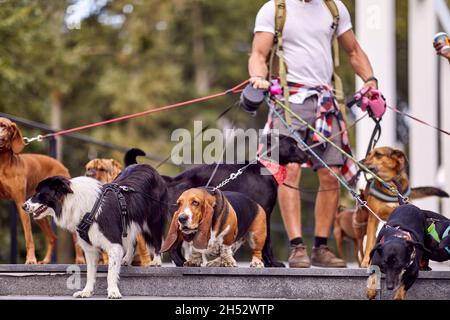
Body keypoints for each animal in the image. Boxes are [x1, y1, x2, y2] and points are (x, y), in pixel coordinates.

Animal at [0, 116, 84, 264]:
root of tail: (62, 166)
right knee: (52, 237)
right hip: (38, 212)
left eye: (4, 126)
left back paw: (79, 259)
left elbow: (29, 237)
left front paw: (30, 260)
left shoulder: (20, 203)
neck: (2, 163)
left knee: (74, 235)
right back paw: (46, 260)